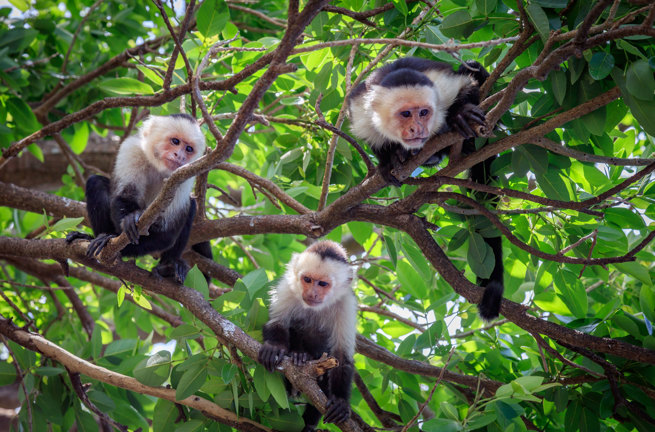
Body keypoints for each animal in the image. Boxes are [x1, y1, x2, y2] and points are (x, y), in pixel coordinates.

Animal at [66, 114, 213, 284]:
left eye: (189, 149)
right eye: (175, 141)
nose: (180, 156)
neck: (159, 166)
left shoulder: (185, 174)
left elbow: (166, 233)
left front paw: (119, 247)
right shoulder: (132, 149)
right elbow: (124, 196)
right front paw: (128, 220)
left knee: (190, 207)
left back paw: (169, 266)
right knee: (96, 183)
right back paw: (96, 237)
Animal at [258, 241, 358, 430]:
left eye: (323, 284)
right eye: (307, 280)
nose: (312, 293)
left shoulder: (346, 305)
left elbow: (341, 355)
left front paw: (340, 401)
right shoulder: (287, 289)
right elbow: (278, 322)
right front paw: (275, 348)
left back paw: (309, 424)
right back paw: (299, 355)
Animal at [348, 56, 502, 320]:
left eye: (423, 112)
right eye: (406, 114)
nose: (418, 129)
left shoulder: (442, 88)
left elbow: (466, 85)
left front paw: (460, 113)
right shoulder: (360, 109)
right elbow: (372, 137)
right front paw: (389, 160)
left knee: (472, 66)